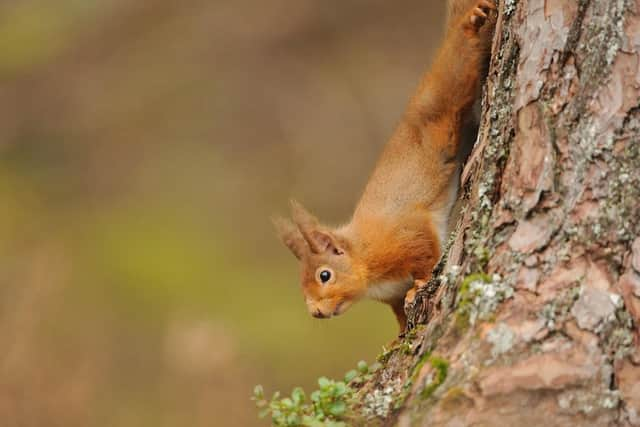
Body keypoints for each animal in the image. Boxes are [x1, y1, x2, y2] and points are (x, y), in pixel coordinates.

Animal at [272, 0, 498, 332]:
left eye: (324, 275)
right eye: (302, 287)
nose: (315, 312)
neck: (365, 257)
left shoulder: (406, 236)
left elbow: (426, 257)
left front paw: (421, 285)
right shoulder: (391, 295)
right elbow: (399, 313)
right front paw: (400, 333)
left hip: (446, 93)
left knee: (459, 59)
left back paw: (471, 23)